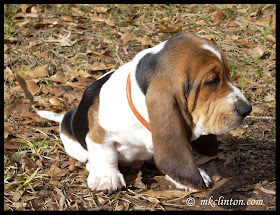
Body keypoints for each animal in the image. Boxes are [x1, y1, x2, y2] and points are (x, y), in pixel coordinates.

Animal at [36, 31, 253, 193]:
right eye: (212, 81)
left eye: (229, 74)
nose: (247, 109)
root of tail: (66, 116)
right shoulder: (99, 133)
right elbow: (106, 154)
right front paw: (107, 177)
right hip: (75, 144)